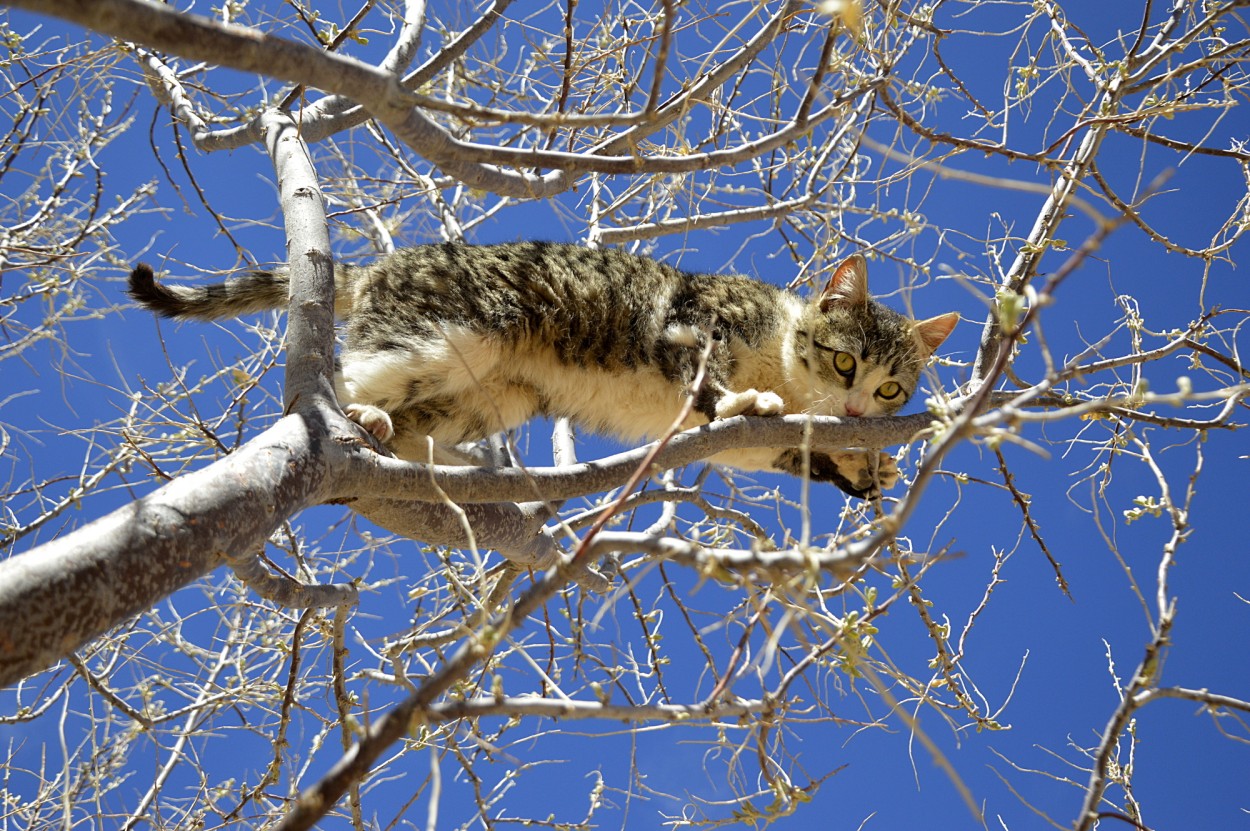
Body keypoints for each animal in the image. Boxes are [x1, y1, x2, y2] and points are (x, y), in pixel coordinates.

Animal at [129, 243, 955, 494]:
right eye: (845, 359)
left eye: (891, 386)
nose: (856, 410)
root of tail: (384, 265)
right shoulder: (694, 324)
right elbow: (712, 384)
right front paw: (742, 400)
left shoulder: (765, 451)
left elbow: (786, 451)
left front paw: (865, 465)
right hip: (452, 335)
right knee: (348, 373)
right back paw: (357, 413)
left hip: (496, 394)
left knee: (422, 422)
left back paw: (438, 452)